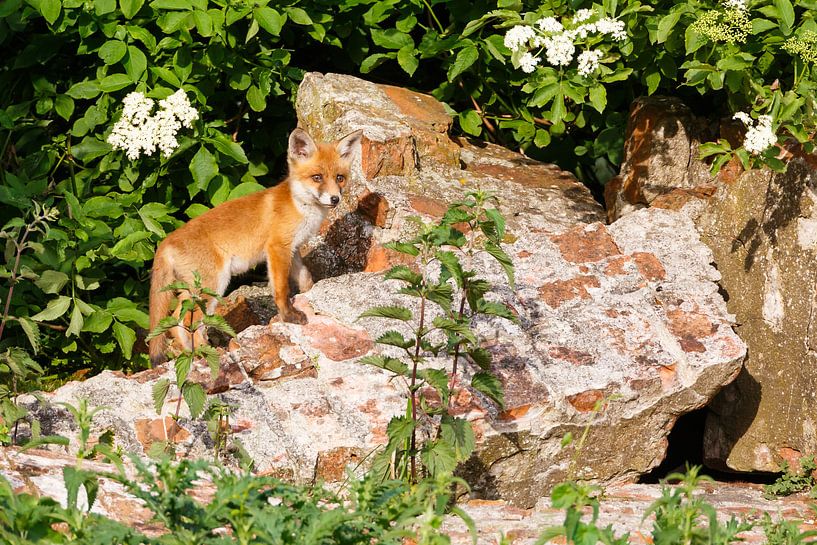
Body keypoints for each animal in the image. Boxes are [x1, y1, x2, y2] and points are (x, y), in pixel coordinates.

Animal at [148, 127, 363, 365]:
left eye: (339, 178)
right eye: (317, 177)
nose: (335, 199)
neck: (301, 206)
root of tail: (166, 241)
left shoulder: (294, 249)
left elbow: (306, 278)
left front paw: (309, 295)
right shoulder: (277, 248)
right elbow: (281, 288)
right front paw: (289, 316)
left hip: (195, 289)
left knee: (176, 321)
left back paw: (194, 356)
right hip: (213, 285)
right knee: (188, 322)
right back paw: (208, 354)